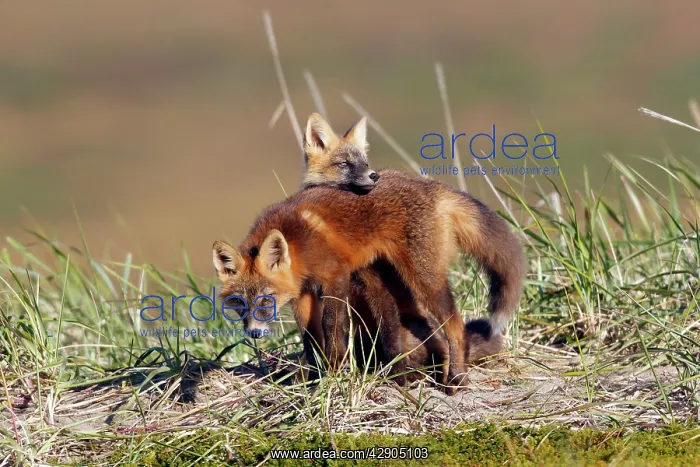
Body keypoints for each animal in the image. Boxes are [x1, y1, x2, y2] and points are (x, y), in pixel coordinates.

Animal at [212, 116, 526, 390]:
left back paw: (455, 379)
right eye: (239, 303)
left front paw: (334, 372)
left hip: (422, 278)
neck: (298, 242)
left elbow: (332, 328)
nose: (254, 332)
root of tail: (433, 187)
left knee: (455, 326)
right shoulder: (303, 294)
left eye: (266, 300)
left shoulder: (336, 277)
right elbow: (310, 338)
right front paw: (314, 377)